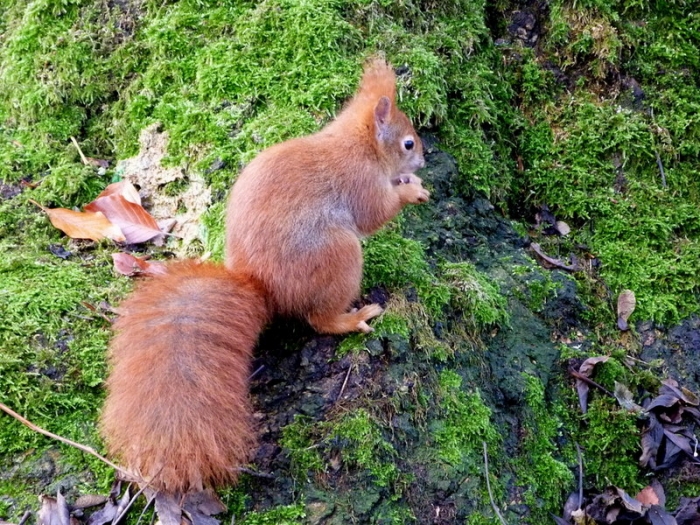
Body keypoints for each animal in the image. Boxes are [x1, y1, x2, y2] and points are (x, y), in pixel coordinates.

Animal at [100, 58, 429, 495]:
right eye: (408, 143)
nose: (423, 161)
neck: (359, 146)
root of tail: (261, 286)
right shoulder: (361, 185)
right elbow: (376, 214)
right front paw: (411, 191)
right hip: (338, 257)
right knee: (319, 319)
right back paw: (352, 318)